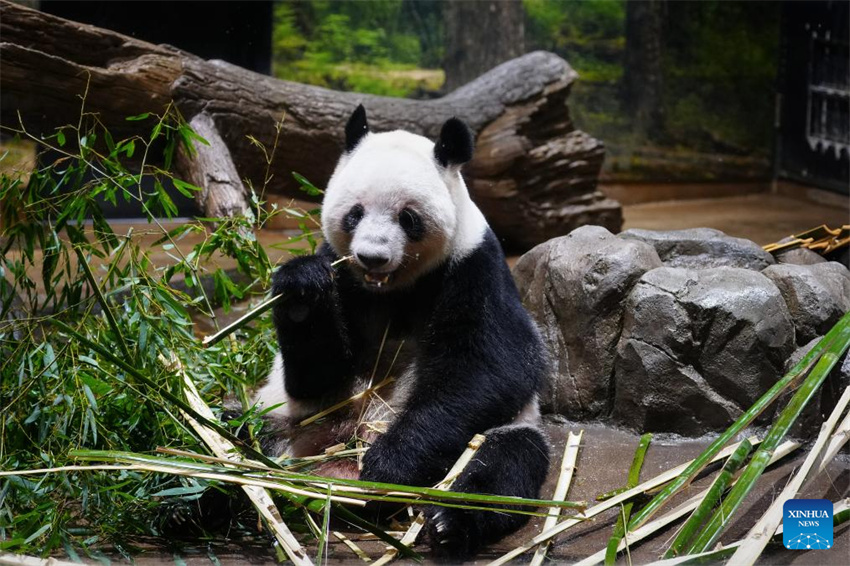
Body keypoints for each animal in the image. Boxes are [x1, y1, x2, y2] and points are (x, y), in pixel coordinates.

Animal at [254, 105, 550, 559]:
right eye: (354, 213)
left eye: (407, 218)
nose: (371, 257)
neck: (391, 289)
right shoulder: (344, 278)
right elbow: (316, 376)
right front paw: (302, 289)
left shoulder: (473, 268)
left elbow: (491, 368)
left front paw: (389, 466)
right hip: (284, 420)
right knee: (237, 430)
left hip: (504, 431)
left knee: (504, 466)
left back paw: (449, 523)